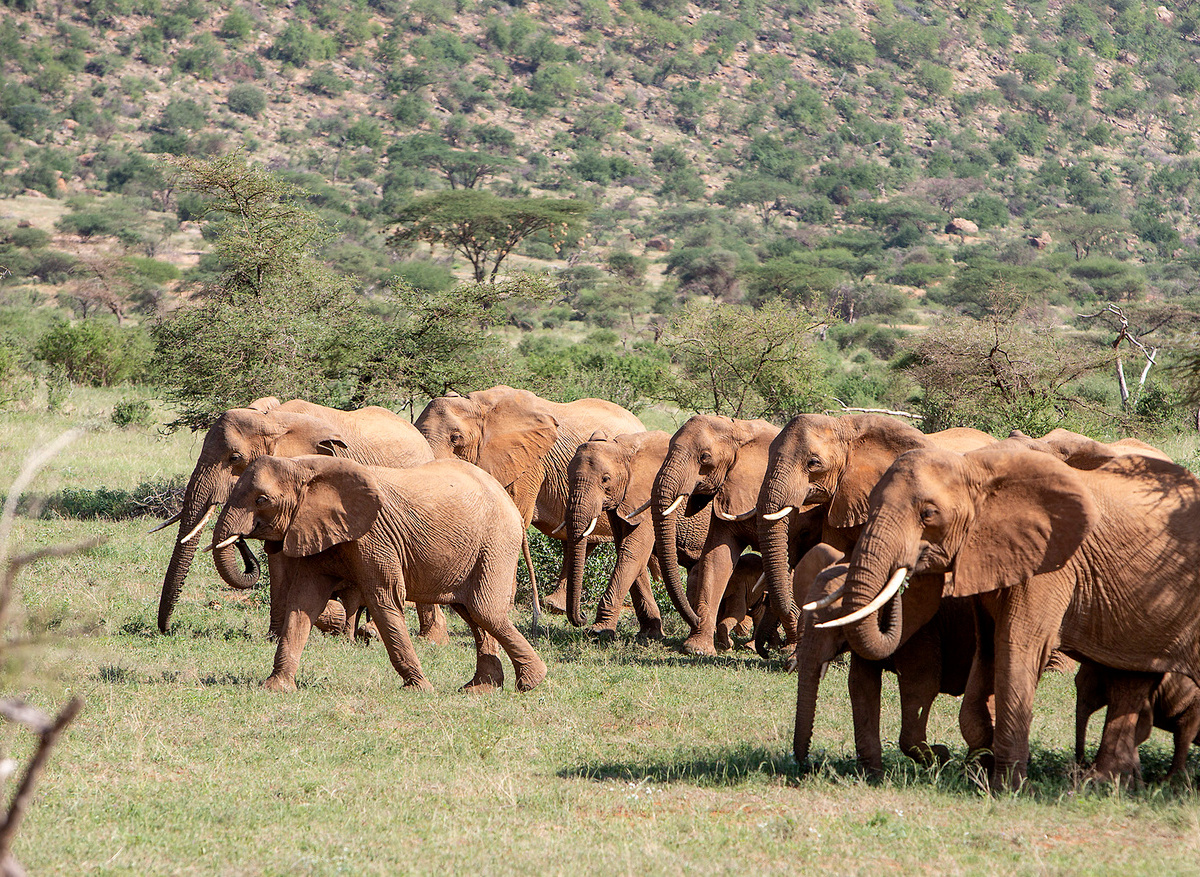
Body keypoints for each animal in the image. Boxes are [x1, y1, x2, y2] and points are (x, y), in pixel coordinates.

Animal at [154, 396, 446, 644]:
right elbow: (278, 563)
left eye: (234, 458)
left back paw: (415, 638)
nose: (166, 631)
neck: (273, 420)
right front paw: (273, 637)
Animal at [208, 455, 546, 693]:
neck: (304, 466)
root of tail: (513, 506)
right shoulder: (313, 528)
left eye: (261, 500)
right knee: (472, 613)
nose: (242, 542)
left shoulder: (374, 536)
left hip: (496, 542)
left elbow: (384, 600)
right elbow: (303, 602)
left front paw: (419, 689)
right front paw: (276, 687)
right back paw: (479, 689)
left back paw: (531, 682)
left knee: (485, 610)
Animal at [650, 414, 824, 656]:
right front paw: (698, 649)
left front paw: (789, 648)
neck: (739, 430)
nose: (694, 619)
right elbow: (717, 558)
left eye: (704, 457)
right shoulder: (728, 493)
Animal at [794, 550, 976, 773]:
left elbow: (921, 686)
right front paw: (871, 775)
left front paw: (941, 756)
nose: (808, 764)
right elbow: (861, 685)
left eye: (836, 618)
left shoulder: (922, 630)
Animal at [817, 440, 1200, 788]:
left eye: (928, 514)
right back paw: (1109, 782)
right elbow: (987, 651)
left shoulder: (1051, 563)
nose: (905, 571)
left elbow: (1016, 646)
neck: (974, 469)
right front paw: (978, 768)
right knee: (1129, 680)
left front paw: (1006, 786)